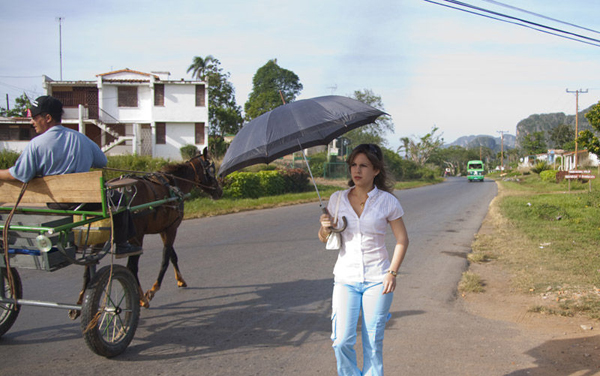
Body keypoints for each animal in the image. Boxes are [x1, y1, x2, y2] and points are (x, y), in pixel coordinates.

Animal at [115, 145, 223, 306]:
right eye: (211, 171)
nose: (219, 191)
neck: (173, 184)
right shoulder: (172, 228)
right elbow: (165, 259)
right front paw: (153, 290)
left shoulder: (165, 229)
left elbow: (173, 255)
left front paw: (181, 280)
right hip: (136, 237)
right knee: (132, 268)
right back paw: (141, 298)